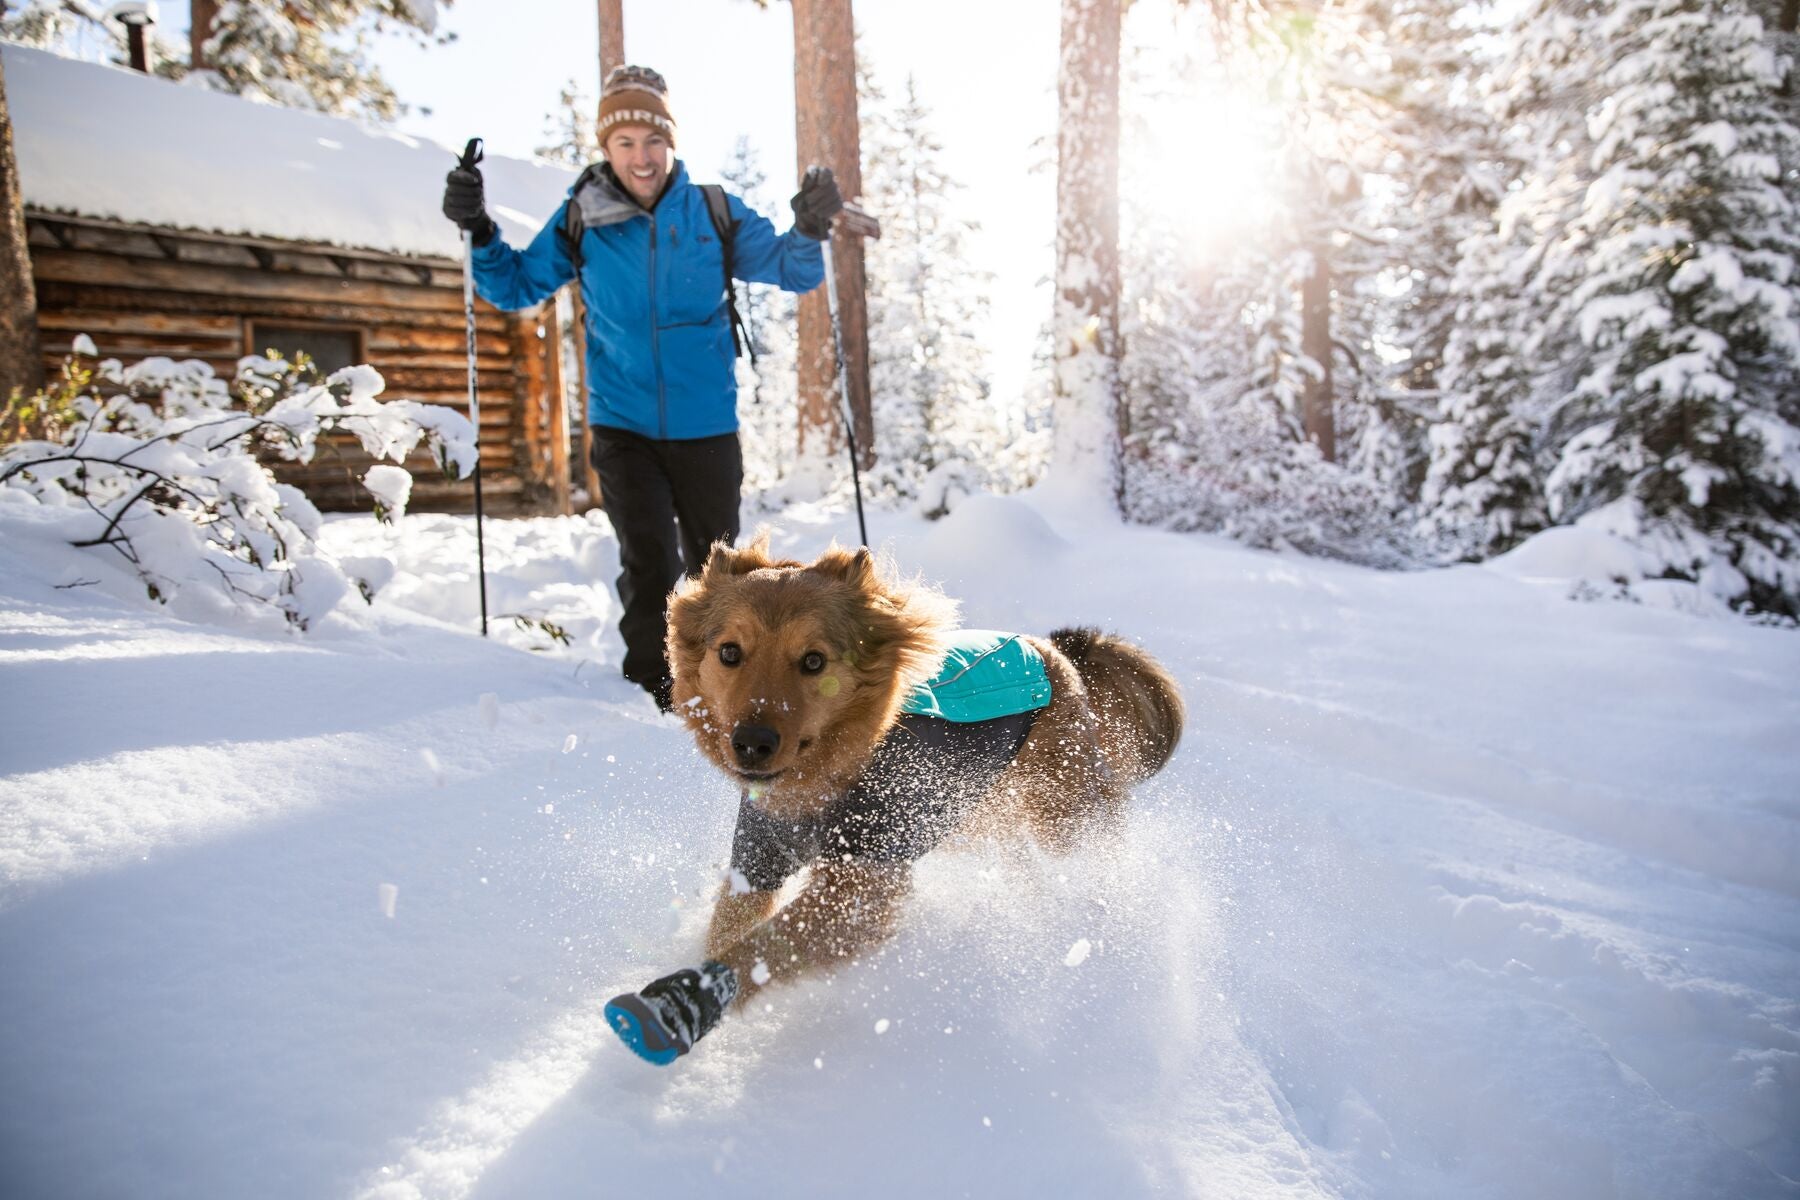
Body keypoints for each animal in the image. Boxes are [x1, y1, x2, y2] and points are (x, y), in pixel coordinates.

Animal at [601, 539, 1180, 1065]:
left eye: (814, 660)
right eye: (729, 652)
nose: (752, 743)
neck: (825, 782)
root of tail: (1051, 649)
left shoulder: (864, 881)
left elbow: (761, 948)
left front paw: (678, 1006)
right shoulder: (758, 858)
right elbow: (731, 930)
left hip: (1065, 813)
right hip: (985, 816)